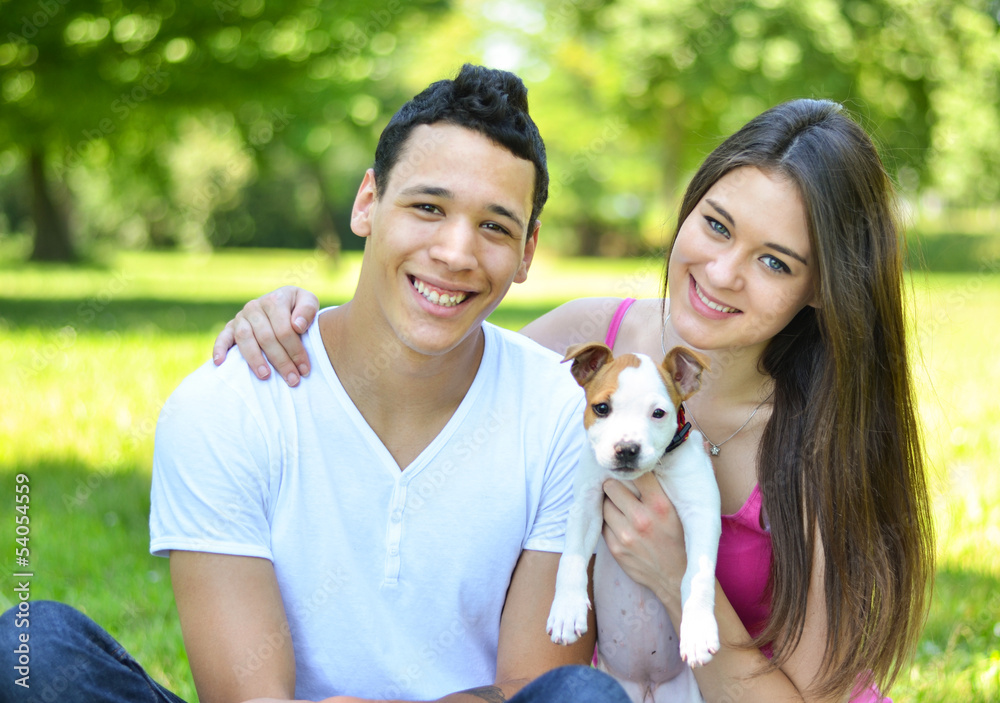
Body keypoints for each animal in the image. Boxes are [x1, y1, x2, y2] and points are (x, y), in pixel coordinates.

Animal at [552, 342, 724, 700]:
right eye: (601, 408)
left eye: (658, 413)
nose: (627, 449)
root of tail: (647, 684)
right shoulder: (586, 505)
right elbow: (571, 559)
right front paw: (566, 609)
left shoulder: (702, 510)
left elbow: (697, 575)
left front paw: (698, 630)